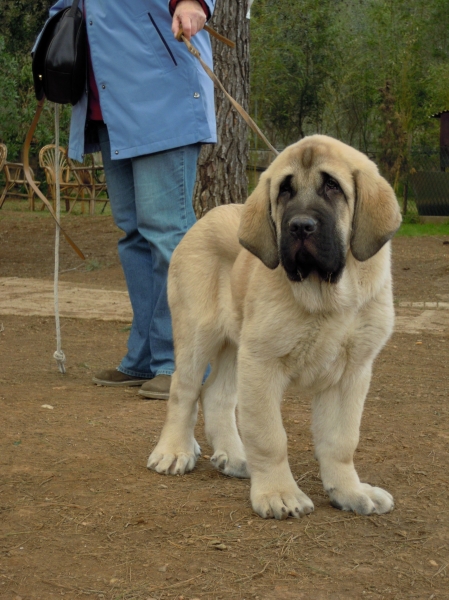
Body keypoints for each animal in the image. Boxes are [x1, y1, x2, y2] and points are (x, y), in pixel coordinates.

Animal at [149, 134, 400, 516]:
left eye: (332, 187)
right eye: (285, 191)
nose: (300, 226)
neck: (327, 296)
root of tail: (207, 217)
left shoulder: (351, 372)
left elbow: (341, 440)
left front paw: (350, 491)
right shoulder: (263, 363)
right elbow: (270, 437)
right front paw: (278, 493)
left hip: (235, 345)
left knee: (216, 395)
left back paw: (235, 458)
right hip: (198, 334)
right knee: (185, 390)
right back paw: (174, 451)